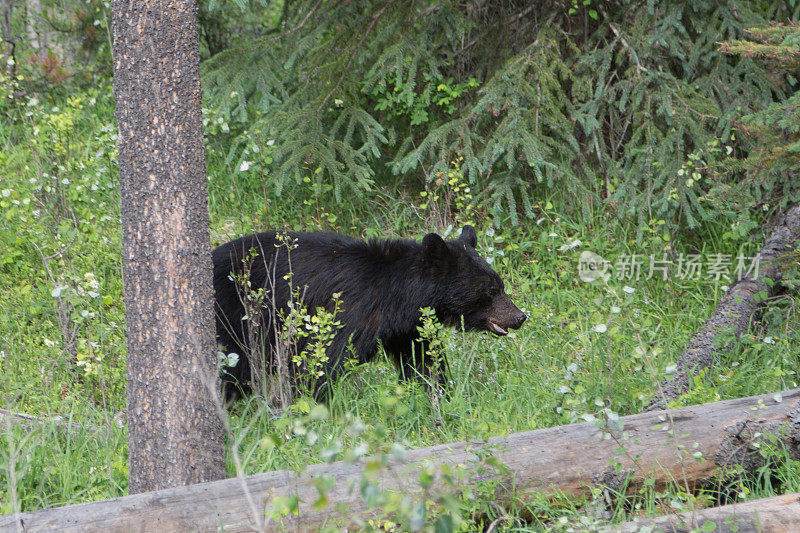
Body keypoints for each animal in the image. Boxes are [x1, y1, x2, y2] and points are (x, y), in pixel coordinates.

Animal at [212, 223, 528, 400]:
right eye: (490, 290)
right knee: (235, 368)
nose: (520, 316)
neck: (395, 297)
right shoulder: (348, 311)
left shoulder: (407, 329)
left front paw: (440, 396)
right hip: (234, 318)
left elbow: (425, 363)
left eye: (500, 284)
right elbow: (321, 362)